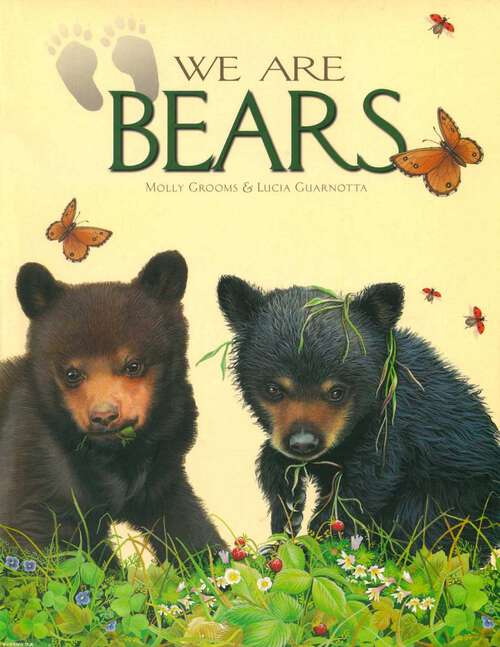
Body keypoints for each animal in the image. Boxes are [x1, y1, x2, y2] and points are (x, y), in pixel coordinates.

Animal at [0, 251, 223, 565]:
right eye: (72, 373)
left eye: (134, 365)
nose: (104, 416)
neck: (113, 454)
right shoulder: (36, 461)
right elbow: (47, 539)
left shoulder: (162, 468)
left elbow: (185, 523)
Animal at [217, 277, 500, 551]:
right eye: (274, 389)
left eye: (336, 392)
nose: (303, 444)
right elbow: (275, 459)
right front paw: (289, 507)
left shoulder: (392, 426)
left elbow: (365, 484)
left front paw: (316, 539)